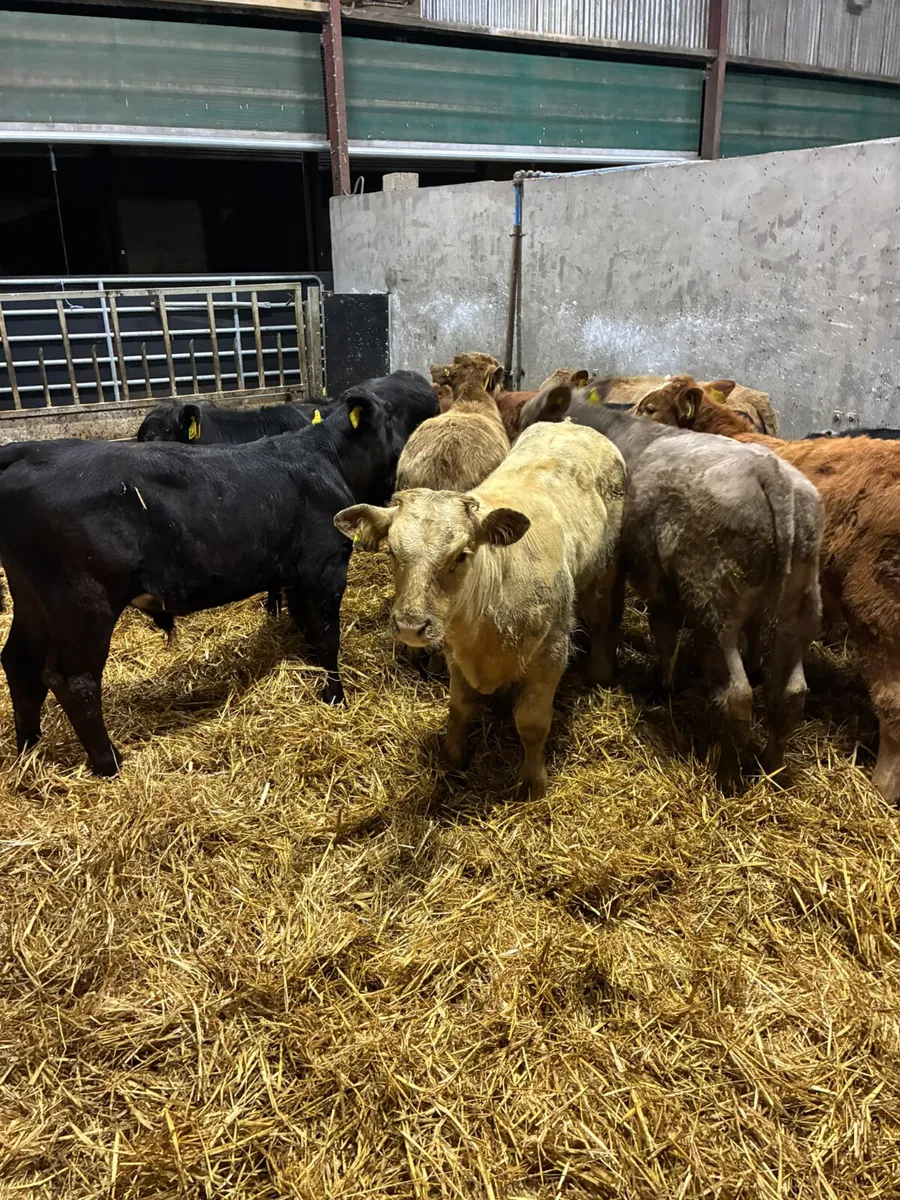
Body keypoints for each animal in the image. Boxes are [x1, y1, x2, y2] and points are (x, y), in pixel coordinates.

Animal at [0, 390, 398, 776]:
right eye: (387, 424)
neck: (326, 457)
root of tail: (30, 452)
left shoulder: (297, 575)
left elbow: (307, 626)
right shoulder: (325, 567)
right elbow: (328, 636)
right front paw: (335, 695)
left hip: (34, 599)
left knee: (20, 664)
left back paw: (29, 748)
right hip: (84, 600)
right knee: (75, 680)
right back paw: (107, 762)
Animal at [335, 419, 626, 798]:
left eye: (461, 554)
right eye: (392, 552)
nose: (410, 627)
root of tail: (571, 425)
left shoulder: (552, 652)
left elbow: (532, 722)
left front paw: (533, 783)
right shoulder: (456, 653)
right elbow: (459, 707)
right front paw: (453, 755)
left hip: (607, 567)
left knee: (603, 618)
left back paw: (602, 673)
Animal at [520, 383, 823, 793]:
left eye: (530, 417)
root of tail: (770, 474)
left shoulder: (626, 566)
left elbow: (627, 621)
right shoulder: (661, 579)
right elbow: (663, 630)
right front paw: (664, 684)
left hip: (714, 607)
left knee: (737, 695)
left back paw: (728, 777)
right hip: (800, 605)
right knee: (790, 693)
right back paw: (773, 767)